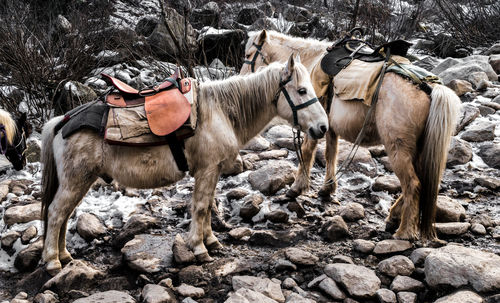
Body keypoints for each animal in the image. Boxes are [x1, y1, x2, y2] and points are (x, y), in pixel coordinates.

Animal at [40, 54, 328, 276]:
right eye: (302, 90)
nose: (323, 127)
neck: (219, 111)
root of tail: (61, 122)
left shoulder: (213, 171)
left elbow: (209, 206)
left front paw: (211, 241)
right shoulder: (207, 170)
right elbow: (200, 207)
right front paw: (199, 248)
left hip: (80, 182)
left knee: (64, 215)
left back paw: (64, 256)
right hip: (76, 181)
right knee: (56, 214)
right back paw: (53, 261)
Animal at [242, 30, 460, 243]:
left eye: (248, 54)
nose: (242, 75)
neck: (310, 62)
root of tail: (429, 88)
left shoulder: (313, 125)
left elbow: (307, 152)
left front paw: (295, 189)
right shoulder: (328, 127)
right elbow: (331, 154)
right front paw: (327, 189)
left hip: (398, 148)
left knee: (413, 185)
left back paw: (404, 231)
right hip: (418, 150)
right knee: (421, 183)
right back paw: (393, 217)